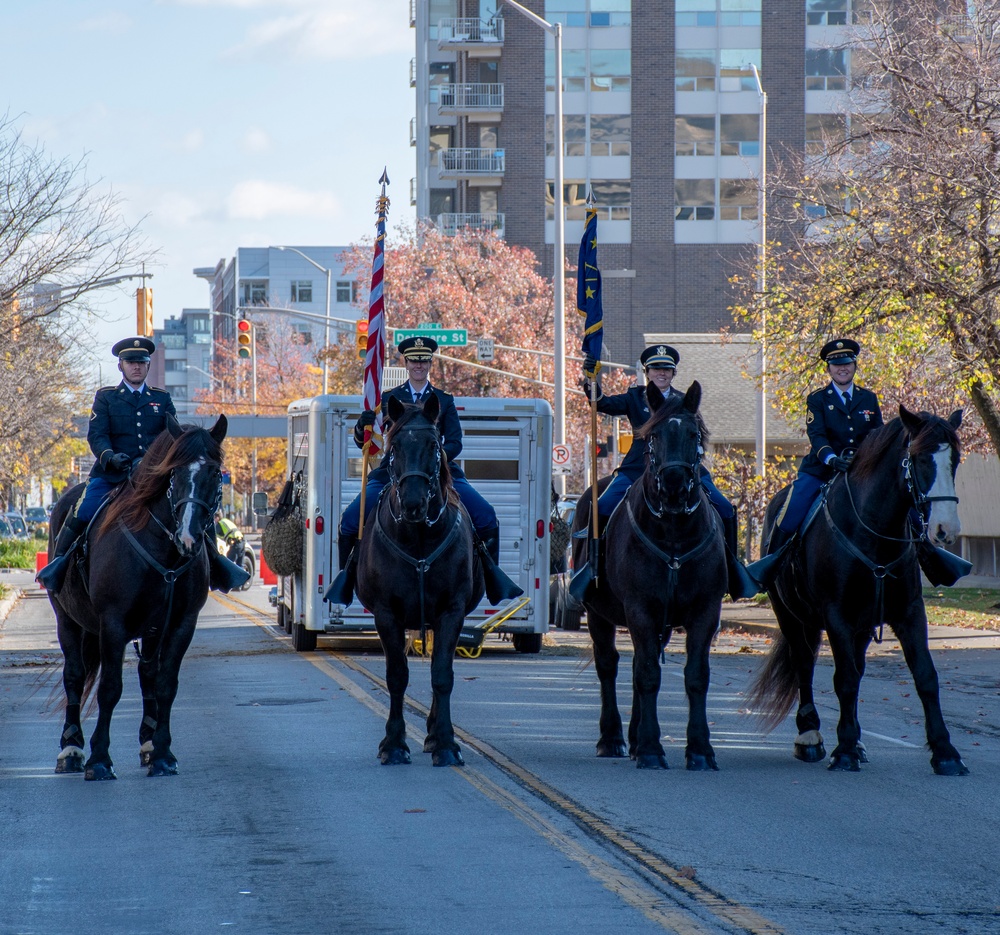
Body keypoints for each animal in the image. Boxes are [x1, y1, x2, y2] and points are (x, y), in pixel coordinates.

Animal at [49, 418, 227, 784]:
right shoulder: (113, 623)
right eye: (173, 472)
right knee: (74, 675)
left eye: (215, 473)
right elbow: (110, 687)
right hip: (67, 619)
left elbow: (165, 684)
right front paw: (99, 759)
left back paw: (147, 744)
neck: (163, 547)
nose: (189, 537)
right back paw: (71, 749)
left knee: (147, 674)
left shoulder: (181, 623)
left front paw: (162, 754)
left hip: (150, 628)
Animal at [358, 394, 486, 768]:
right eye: (395, 445)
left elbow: (442, 674)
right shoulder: (386, 613)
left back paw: (431, 733)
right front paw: (393, 744)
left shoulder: (451, 611)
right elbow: (396, 676)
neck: (418, 536)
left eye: (434, 444)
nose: (414, 503)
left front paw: (445, 742)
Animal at [572, 384, 728, 772]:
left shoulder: (705, 611)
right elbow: (647, 675)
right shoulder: (640, 608)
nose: (673, 481)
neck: (673, 530)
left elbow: (696, 676)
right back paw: (612, 738)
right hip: (598, 615)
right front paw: (651, 748)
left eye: (693, 434)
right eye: (653, 435)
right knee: (609, 666)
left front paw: (700, 749)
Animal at [752, 408, 968, 776]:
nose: (945, 529)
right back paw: (810, 735)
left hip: (862, 626)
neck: (874, 529)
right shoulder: (836, 615)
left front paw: (945, 751)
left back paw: (857, 741)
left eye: (954, 459)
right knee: (804, 663)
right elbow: (845, 679)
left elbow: (925, 676)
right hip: (791, 617)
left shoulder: (909, 612)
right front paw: (844, 750)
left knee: (855, 666)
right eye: (919, 458)